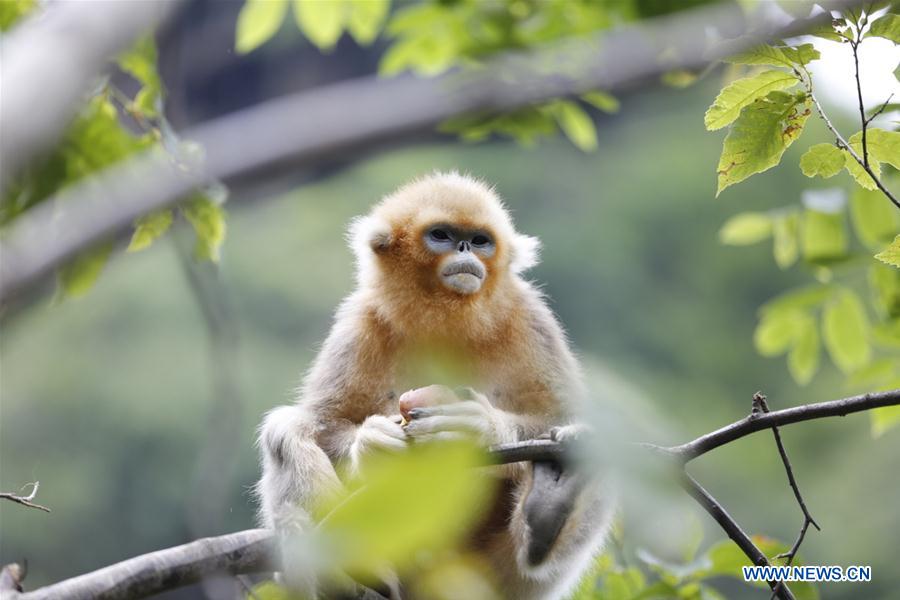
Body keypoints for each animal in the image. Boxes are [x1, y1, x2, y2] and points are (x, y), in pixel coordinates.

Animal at [256, 172, 613, 599]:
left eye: (480, 240)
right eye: (441, 235)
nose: (464, 248)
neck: (446, 317)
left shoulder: (530, 316)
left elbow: (559, 415)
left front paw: (480, 428)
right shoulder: (360, 320)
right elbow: (326, 424)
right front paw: (373, 445)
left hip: (501, 581)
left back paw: (549, 506)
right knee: (287, 430)